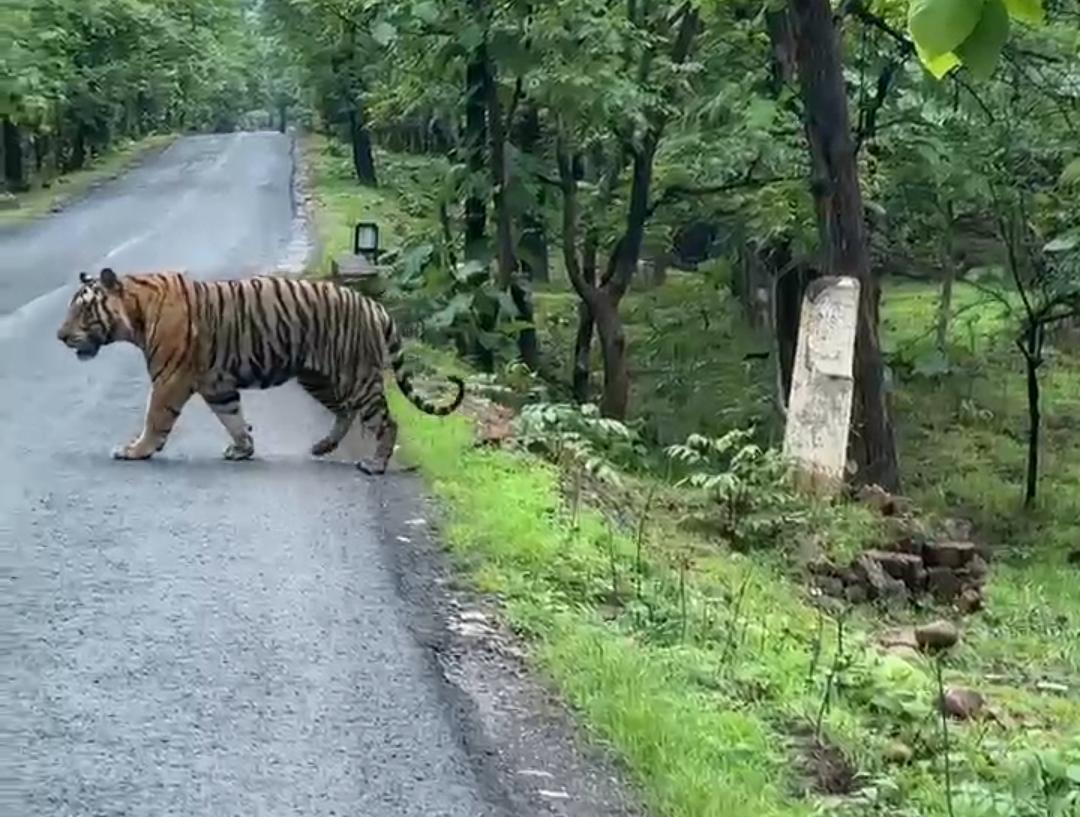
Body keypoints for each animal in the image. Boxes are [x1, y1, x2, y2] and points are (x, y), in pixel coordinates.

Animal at [55, 267, 464, 474]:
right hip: (318, 377)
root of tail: (374, 305)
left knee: (386, 421)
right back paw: (324, 445)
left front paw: (136, 450)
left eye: (84, 309)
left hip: (356, 376)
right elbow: (232, 416)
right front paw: (243, 449)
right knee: (345, 412)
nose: (60, 336)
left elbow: (156, 418)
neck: (136, 313)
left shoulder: (170, 379)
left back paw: (375, 464)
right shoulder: (216, 383)